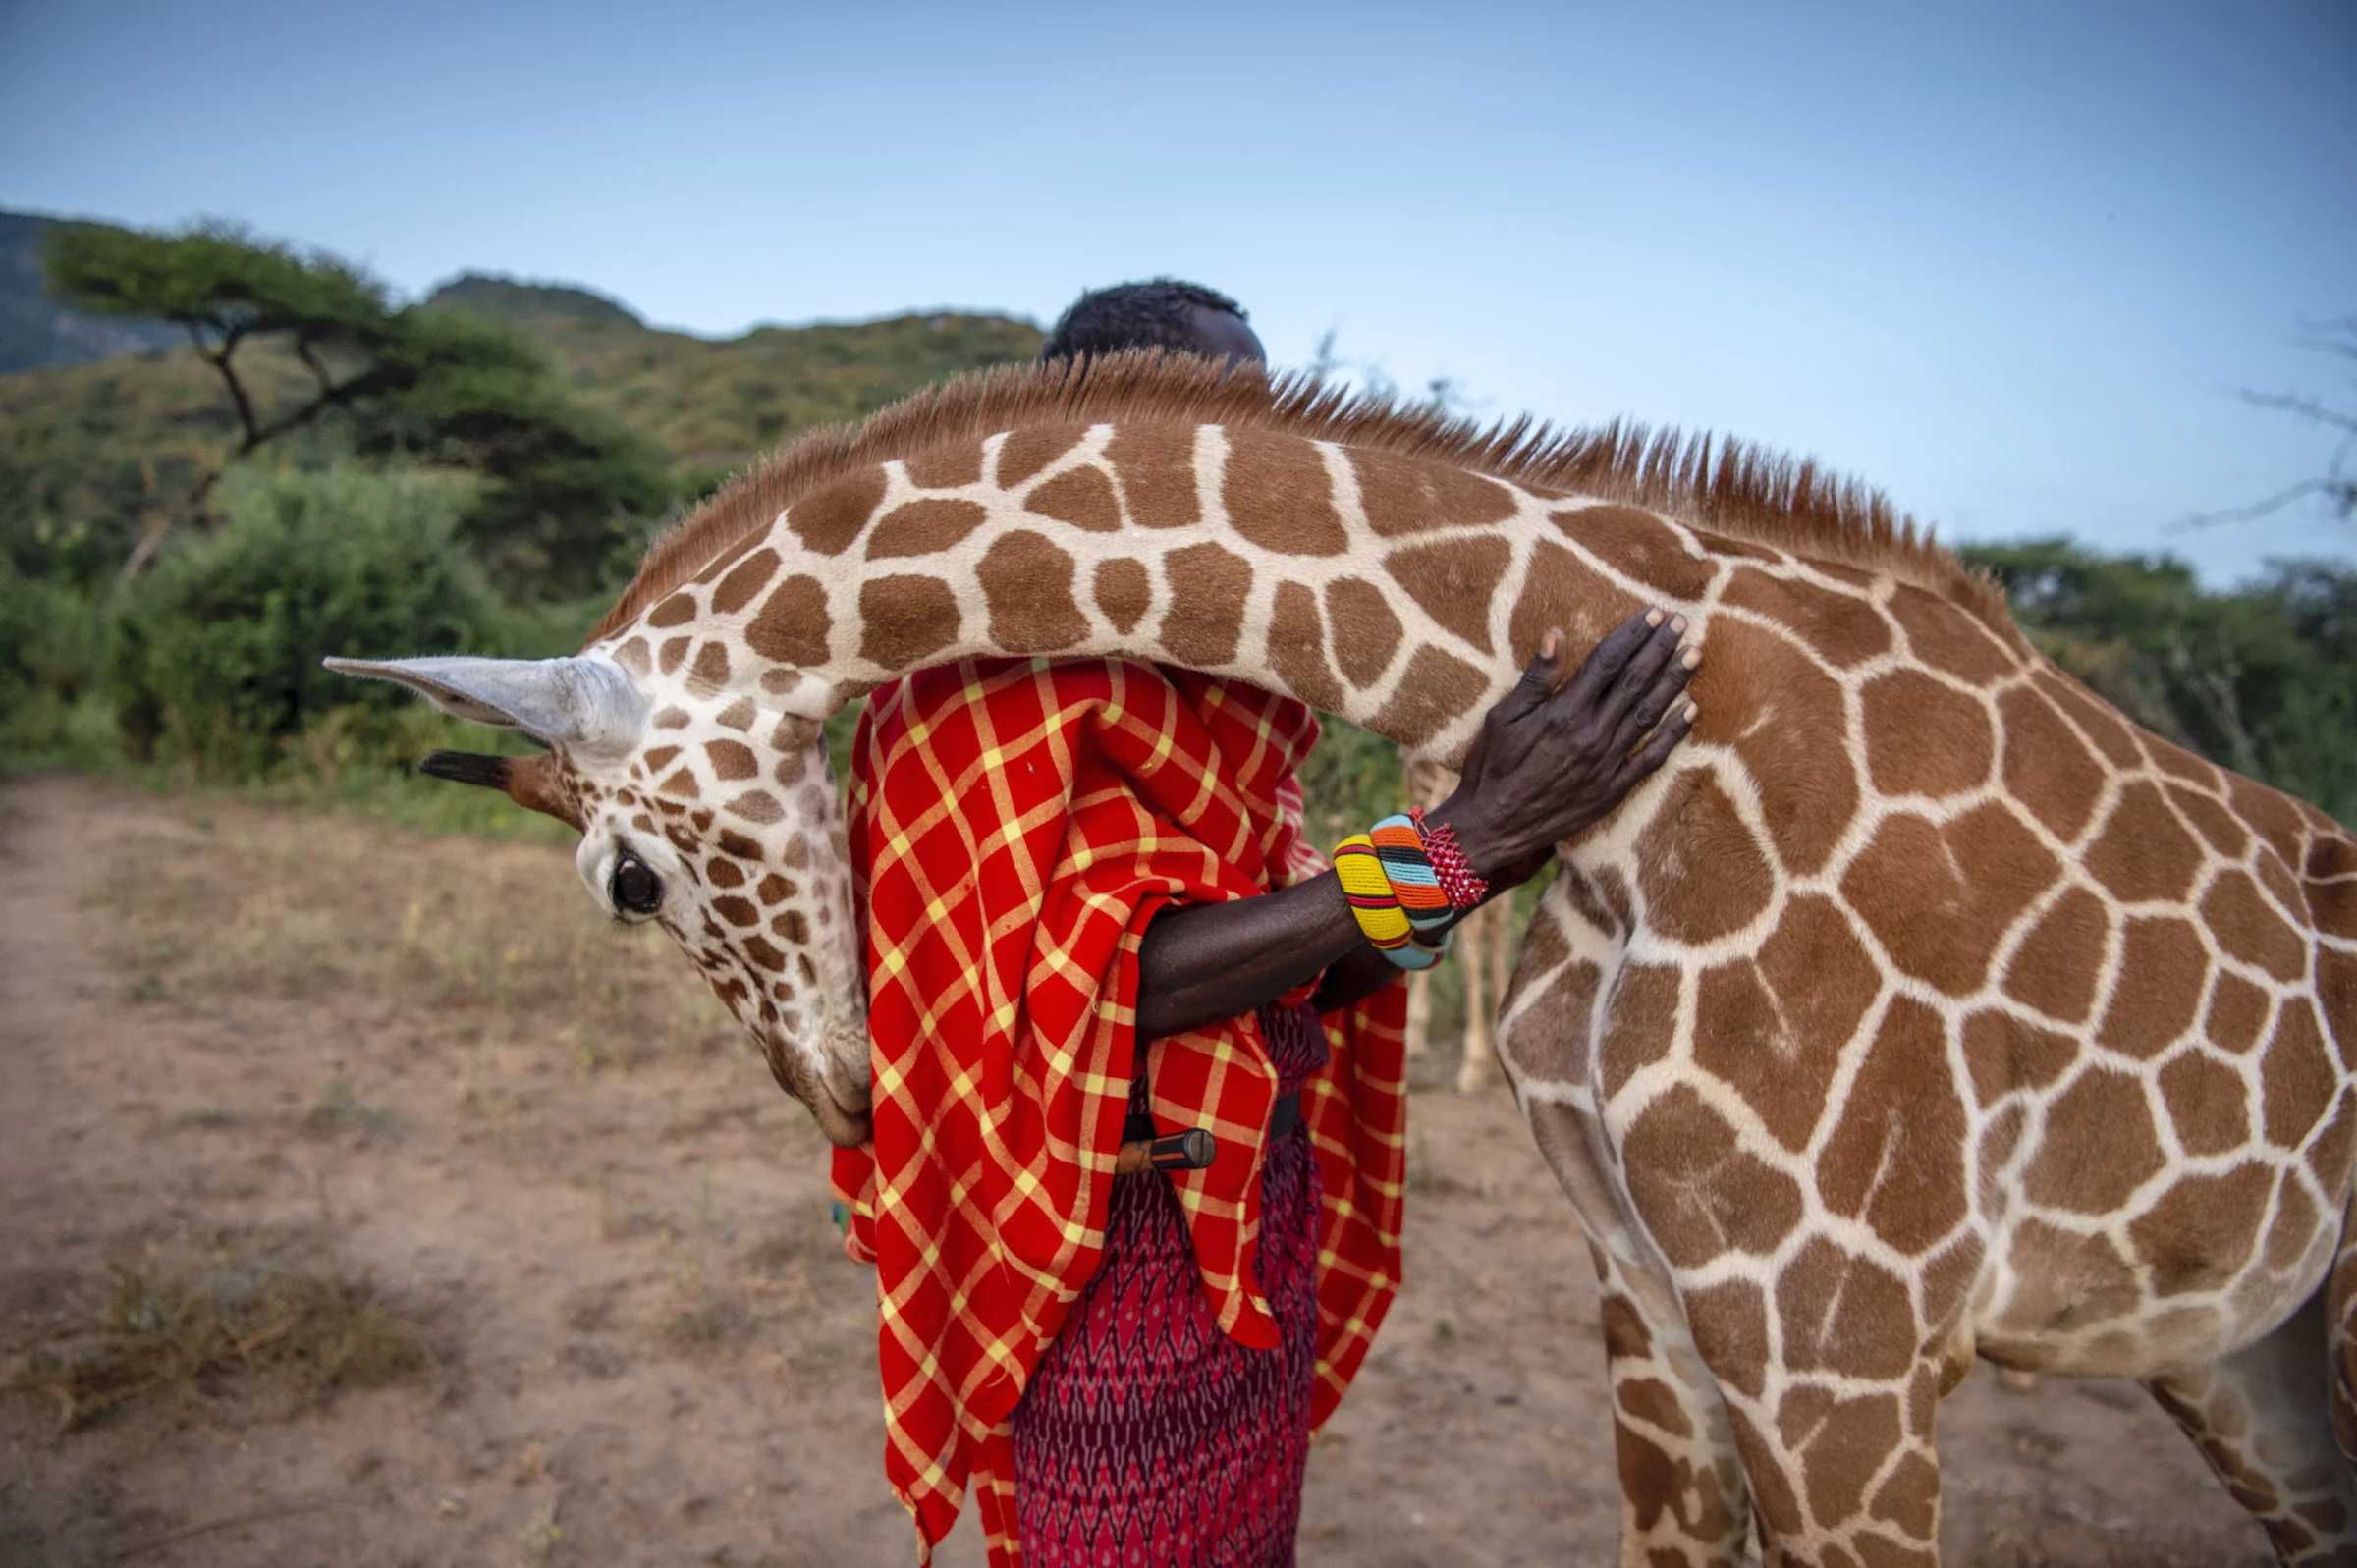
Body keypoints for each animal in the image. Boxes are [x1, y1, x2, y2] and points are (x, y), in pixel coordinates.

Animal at [330, 353, 2357, 1567]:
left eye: (623, 882)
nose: (839, 1093)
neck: (1682, 754)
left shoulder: (1846, 1338)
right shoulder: (1661, 1304)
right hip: (2246, 1351)